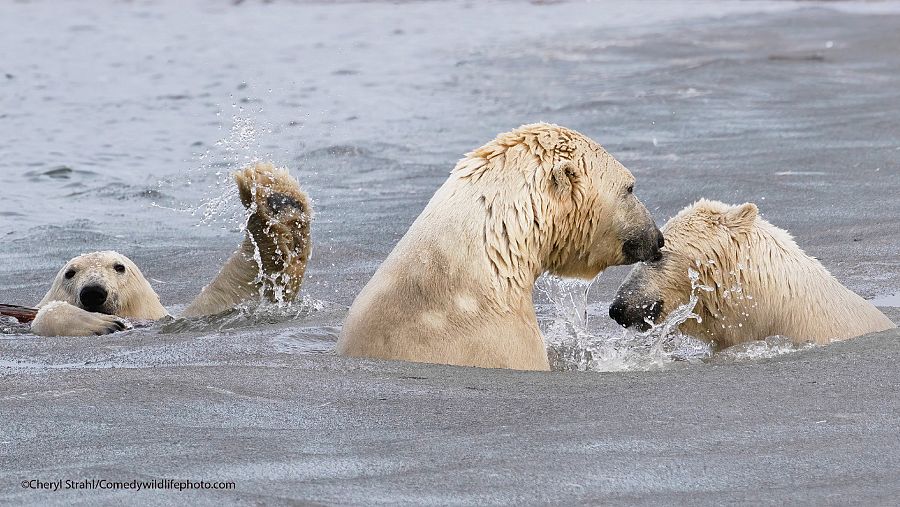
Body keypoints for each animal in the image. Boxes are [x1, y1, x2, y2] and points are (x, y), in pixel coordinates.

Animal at [29, 163, 312, 338]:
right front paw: (100, 324)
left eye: (119, 267)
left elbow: (237, 292)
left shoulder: (170, 318)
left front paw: (276, 200)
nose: (93, 292)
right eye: (70, 273)